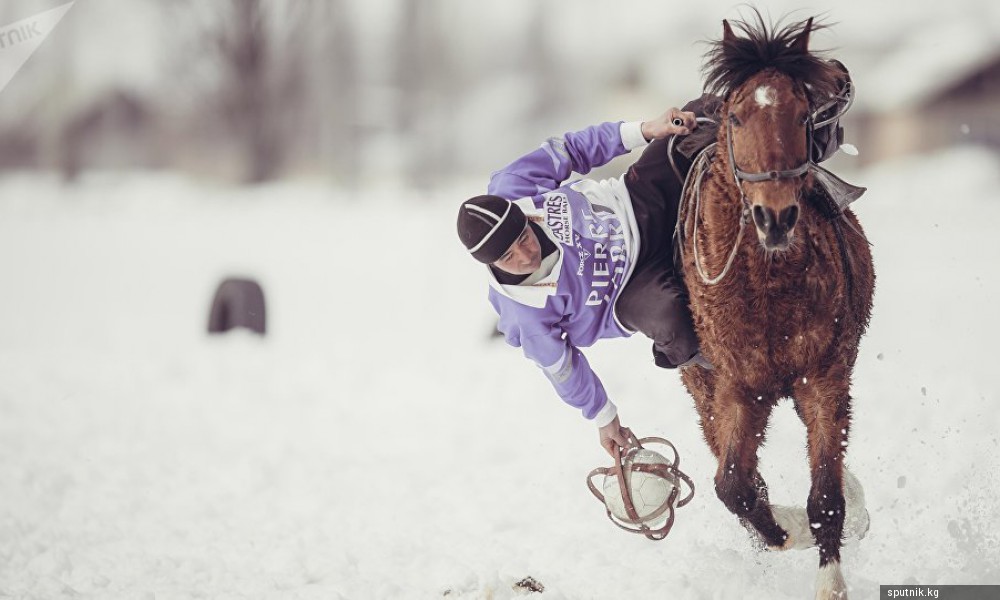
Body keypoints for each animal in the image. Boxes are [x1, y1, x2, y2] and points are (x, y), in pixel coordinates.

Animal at [680, 12, 876, 600]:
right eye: (737, 115)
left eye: (802, 115)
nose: (775, 216)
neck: (765, 293)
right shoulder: (736, 385)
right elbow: (734, 486)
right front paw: (785, 532)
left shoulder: (823, 374)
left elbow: (826, 495)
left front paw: (831, 576)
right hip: (705, 390)